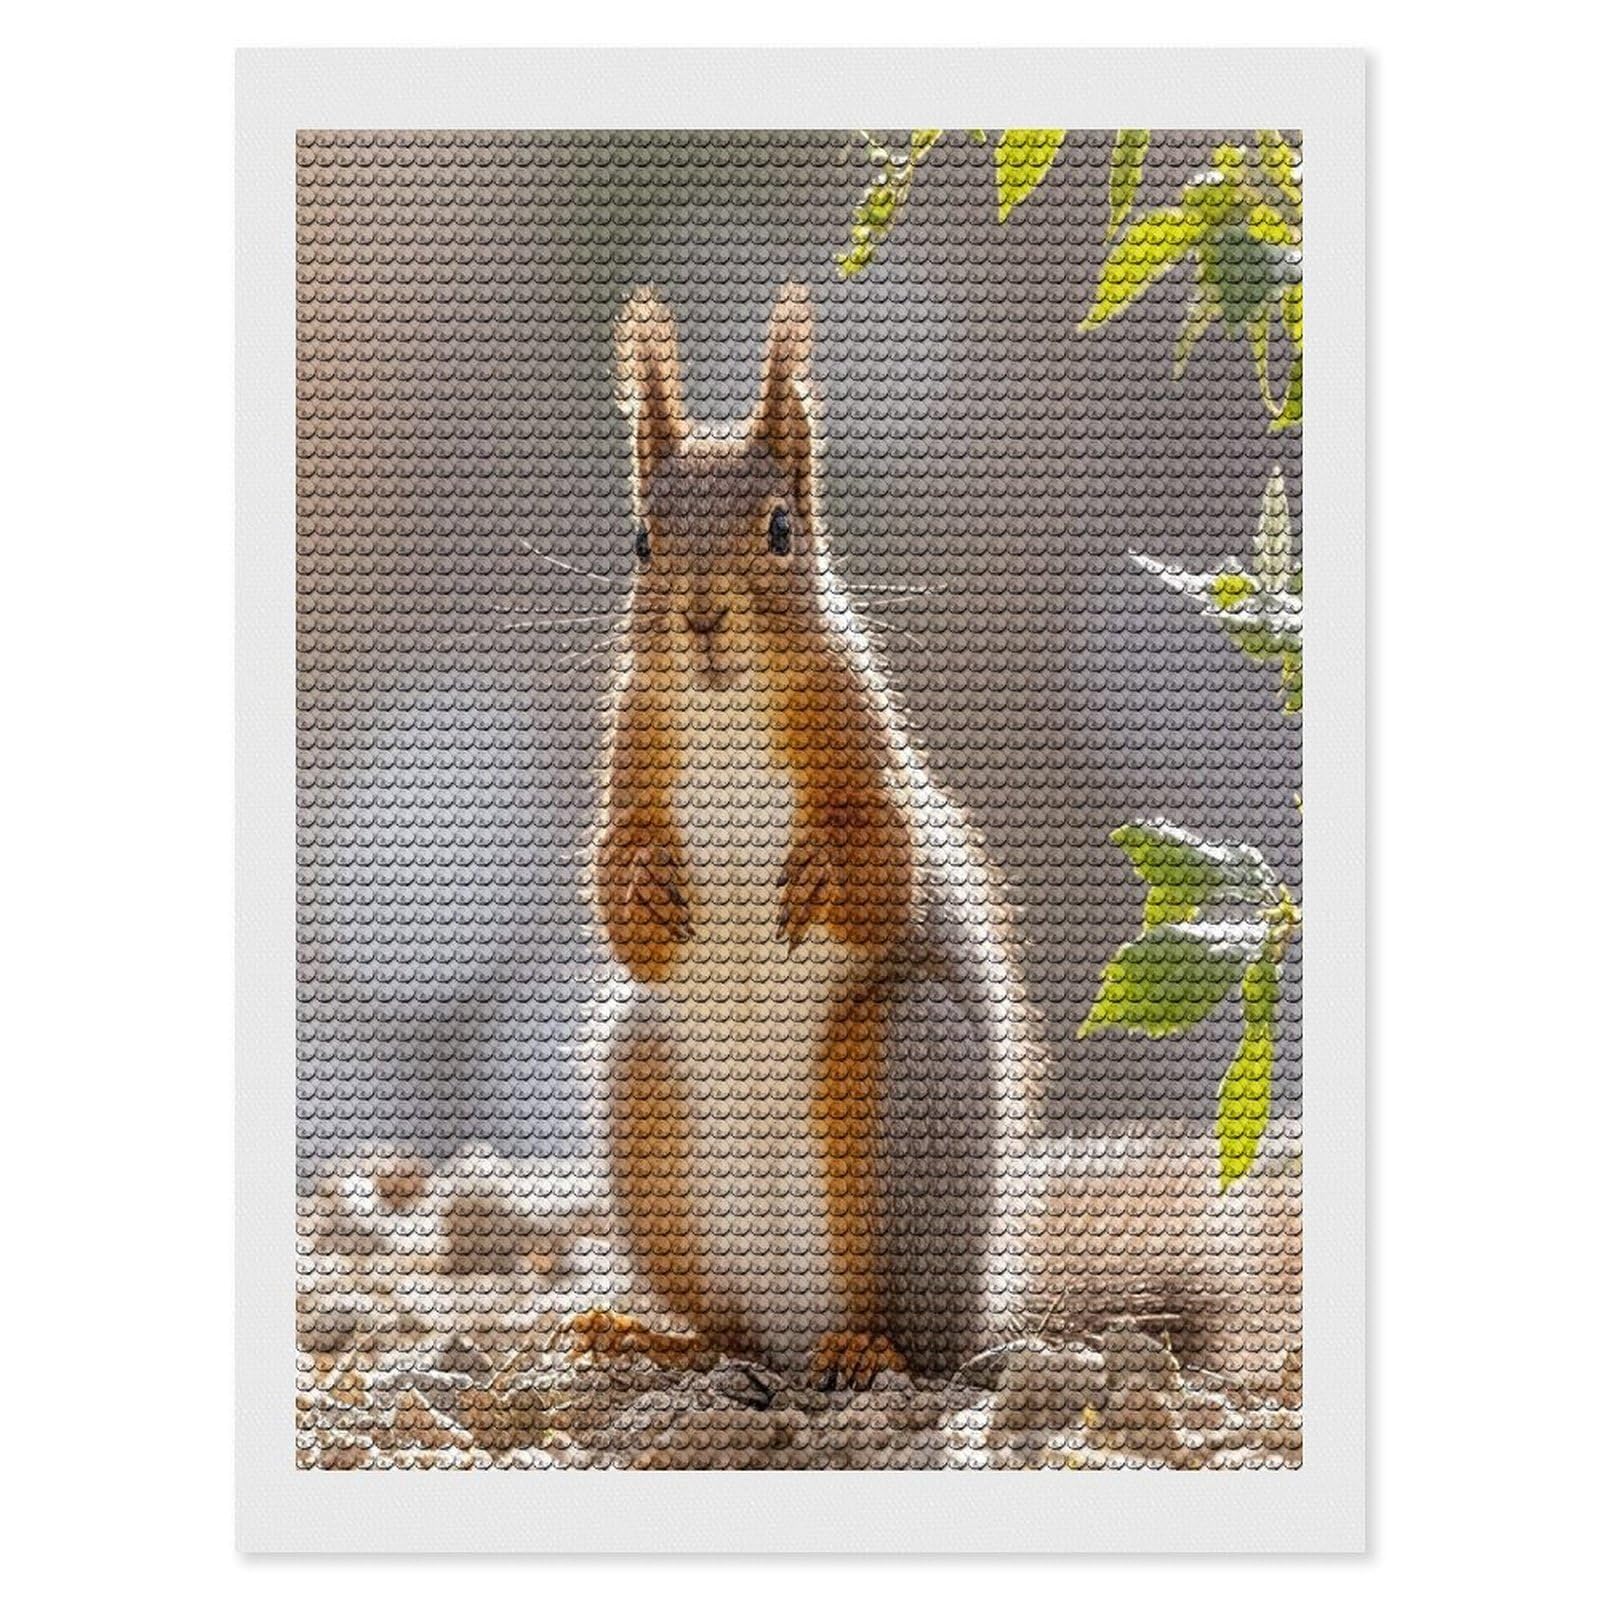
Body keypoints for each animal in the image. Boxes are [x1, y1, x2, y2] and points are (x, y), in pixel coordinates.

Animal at [583, 283, 1041, 1390]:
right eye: (640, 540)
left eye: (782, 529)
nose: (703, 619)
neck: (727, 711)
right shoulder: (634, 747)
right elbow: (615, 884)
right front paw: (646, 886)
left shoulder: (863, 741)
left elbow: (890, 871)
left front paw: (824, 874)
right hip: (642, 1098)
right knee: (730, 1330)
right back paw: (661, 1337)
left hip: (907, 1080)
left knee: (909, 1336)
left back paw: (866, 1346)